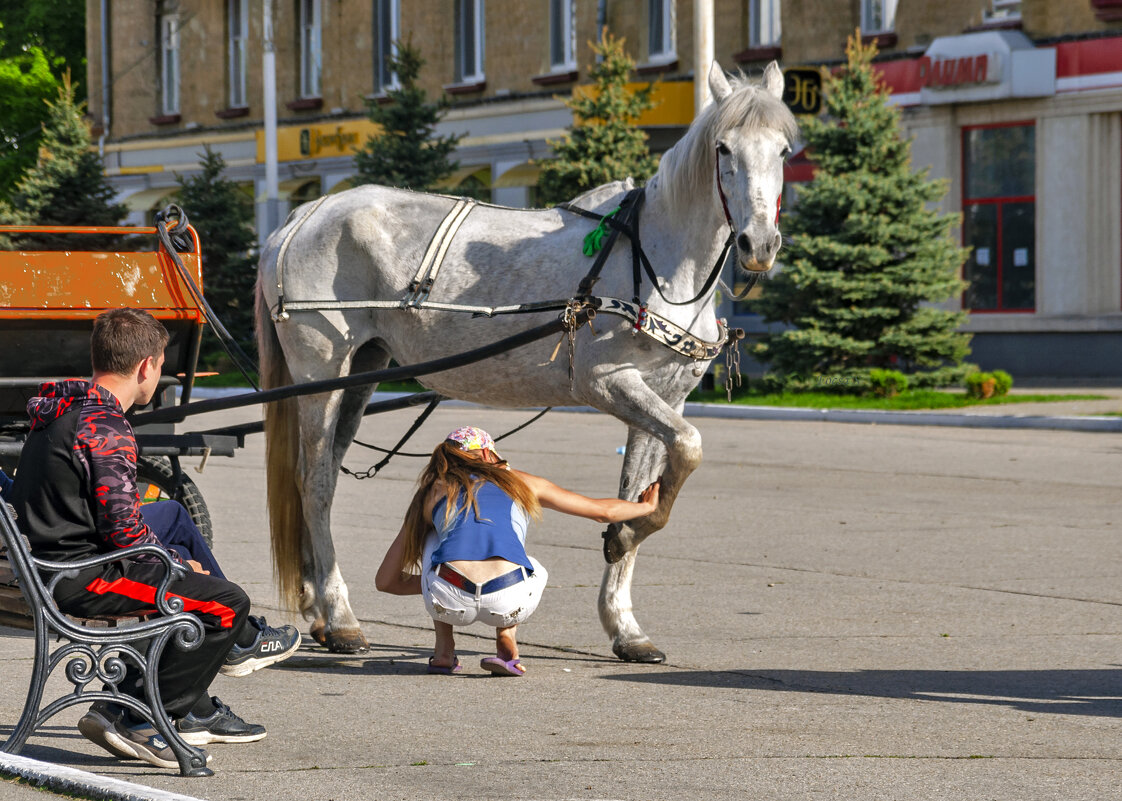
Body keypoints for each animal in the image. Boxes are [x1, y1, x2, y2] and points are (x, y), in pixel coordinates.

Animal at [254, 62, 798, 659]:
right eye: (723, 148)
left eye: (784, 150)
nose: (759, 244)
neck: (658, 263)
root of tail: (306, 212)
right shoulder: (606, 383)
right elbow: (691, 446)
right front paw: (624, 540)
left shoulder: (664, 398)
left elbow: (640, 487)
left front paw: (623, 619)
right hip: (321, 374)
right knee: (314, 483)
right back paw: (341, 615)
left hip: (362, 373)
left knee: (322, 477)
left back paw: (318, 611)